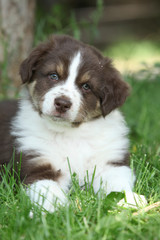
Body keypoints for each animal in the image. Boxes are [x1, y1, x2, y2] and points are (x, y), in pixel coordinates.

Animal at [0, 34, 146, 212]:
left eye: (86, 86)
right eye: (53, 76)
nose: (62, 103)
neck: (71, 134)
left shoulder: (110, 163)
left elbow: (117, 185)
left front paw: (130, 201)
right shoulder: (37, 165)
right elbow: (48, 192)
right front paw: (57, 212)